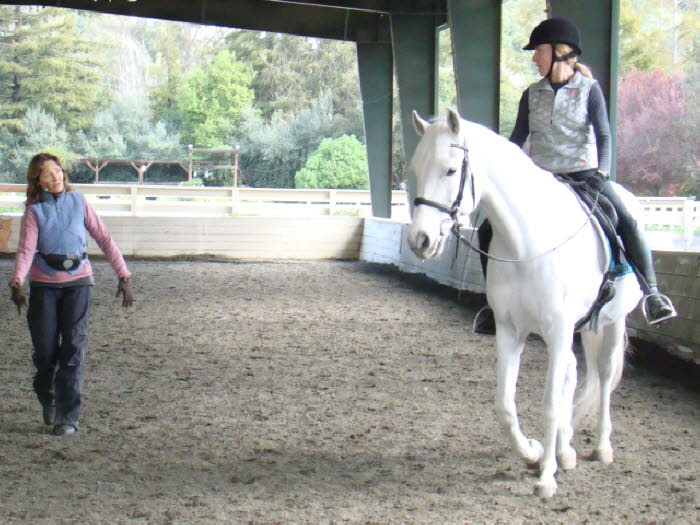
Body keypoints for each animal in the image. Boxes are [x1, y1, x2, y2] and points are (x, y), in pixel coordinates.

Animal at [408, 108, 644, 498]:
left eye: (451, 170)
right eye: (415, 170)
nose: (420, 241)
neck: (529, 244)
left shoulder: (559, 331)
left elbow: (549, 403)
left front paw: (546, 477)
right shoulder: (510, 330)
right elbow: (505, 405)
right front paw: (534, 452)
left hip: (612, 321)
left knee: (606, 374)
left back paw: (601, 447)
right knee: (572, 375)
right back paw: (565, 450)